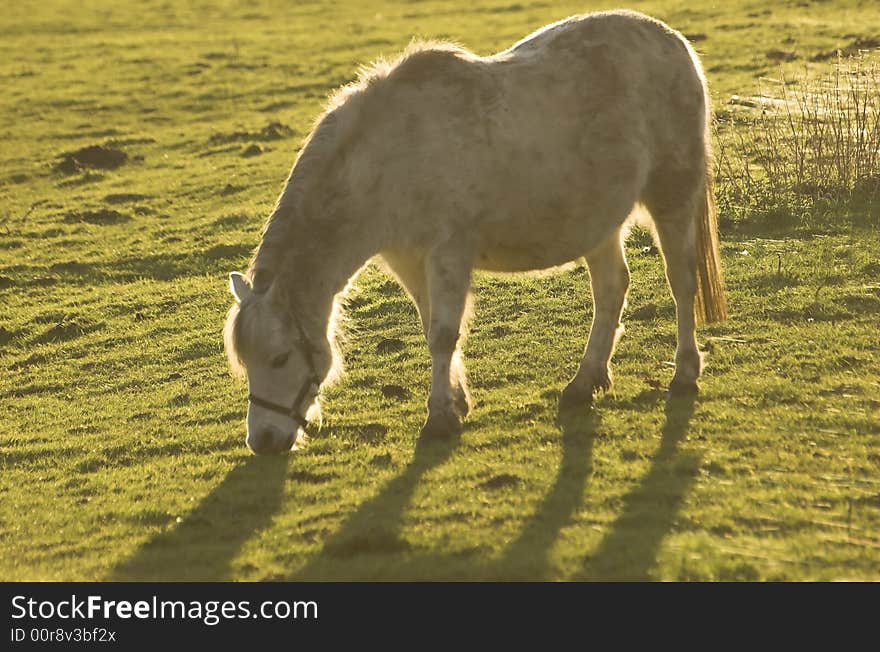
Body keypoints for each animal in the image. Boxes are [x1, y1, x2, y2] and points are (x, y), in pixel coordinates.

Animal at [223, 11, 724, 458]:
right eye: (245, 361)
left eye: (280, 358)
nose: (264, 440)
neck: (387, 158)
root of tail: (675, 43)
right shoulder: (409, 260)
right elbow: (433, 327)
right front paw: (456, 403)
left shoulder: (447, 253)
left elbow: (444, 334)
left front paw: (439, 418)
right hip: (600, 220)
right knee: (611, 289)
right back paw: (585, 383)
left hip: (672, 198)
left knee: (682, 283)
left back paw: (684, 373)